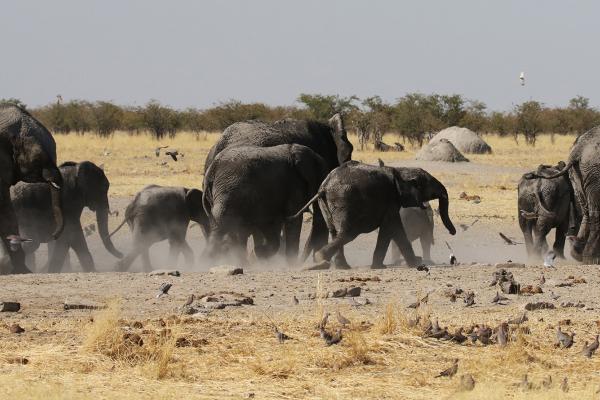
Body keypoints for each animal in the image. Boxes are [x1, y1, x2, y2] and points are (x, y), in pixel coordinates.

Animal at [290, 161, 454, 270]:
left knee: (335, 231)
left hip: (326, 204)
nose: (453, 232)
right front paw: (415, 264)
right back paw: (321, 257)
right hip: (344, 201)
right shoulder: (390, 200)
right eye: (429, 184)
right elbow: (392, 228)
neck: (400, 170)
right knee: (348, 233)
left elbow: (394, 230)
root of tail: (323, 188)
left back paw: (341, 266)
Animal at [524, 127, 600, 262]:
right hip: (593, 172)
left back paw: (578, 254)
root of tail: (578, 151)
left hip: (580, 172)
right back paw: (590, 258)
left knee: (587, 210)